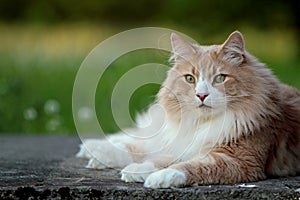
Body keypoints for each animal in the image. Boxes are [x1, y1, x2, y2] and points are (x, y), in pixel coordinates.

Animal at [77, 30, 300, 188]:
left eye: (220, 78)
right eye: (190, 79)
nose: (201, 95)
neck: (200, 124)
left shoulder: (238, 161)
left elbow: (188, 166)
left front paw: (158, 177)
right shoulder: (185, 144)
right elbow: (158, 158)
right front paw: (140, 170)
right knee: (140, 141)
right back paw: (94, 151)